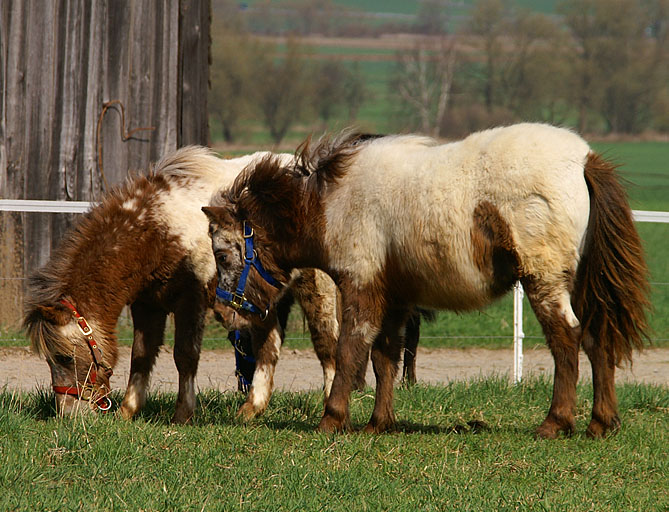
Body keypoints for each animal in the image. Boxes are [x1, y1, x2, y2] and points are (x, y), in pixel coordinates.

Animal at [22, 146, 340, 422]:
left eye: (63, 357)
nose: (68, 414)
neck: (160, 230)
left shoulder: (191, 301)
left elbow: (185, 356)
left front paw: (183, 414)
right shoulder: (147, 305)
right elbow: (141, 355)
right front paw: (128, 411)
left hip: (315, 289)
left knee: (326, 345)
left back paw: (328, 406)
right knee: (269, 344)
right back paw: (252, 408)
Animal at [204, 125, 648, 440]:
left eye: (222, 254)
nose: (226, 311)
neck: (332, 202)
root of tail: (584, 160)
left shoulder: (362, 289)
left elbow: (350, 351)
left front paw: (332, 419)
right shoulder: (395, 299)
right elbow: (385, 358)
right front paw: (378, 423)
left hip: (545, 283)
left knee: (566, 339)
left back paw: (556, 422)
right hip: (581, 286)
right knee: (596, 337)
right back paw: (600, 423)